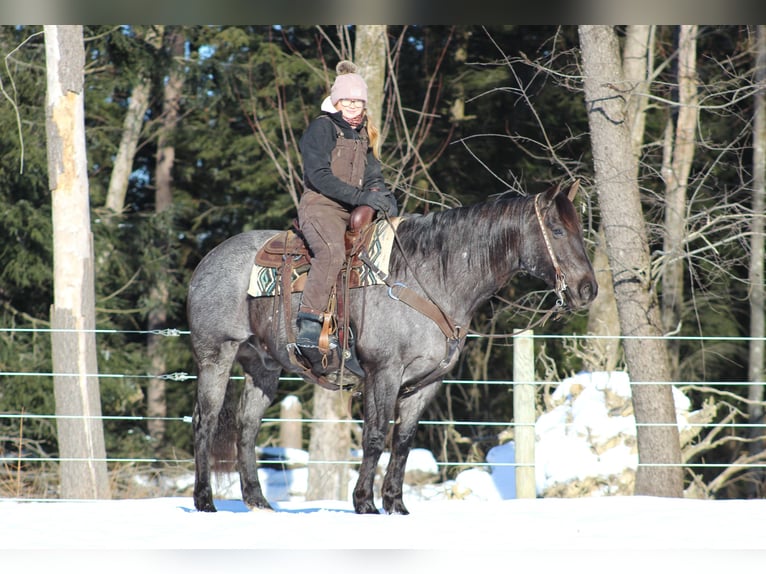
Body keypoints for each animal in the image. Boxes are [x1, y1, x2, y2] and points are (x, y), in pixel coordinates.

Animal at [188, 181, 600, 516]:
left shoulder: (425, 383)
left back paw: (258, 501)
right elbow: (374, 436)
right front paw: (365, 503)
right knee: (205, 422)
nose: (588, 290)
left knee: (246, 427)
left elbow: (402, 442)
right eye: (558, 230)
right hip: (216, 356)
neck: (430, 278)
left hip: (263, 366)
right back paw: (205, 500)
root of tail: (206, 261)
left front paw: (396, 504)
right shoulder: (383, 372)